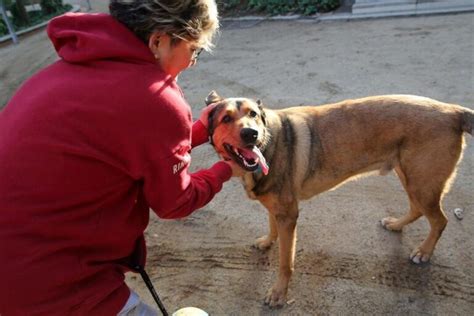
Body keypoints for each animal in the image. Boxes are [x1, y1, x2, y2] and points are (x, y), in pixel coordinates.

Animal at [207, 91, 474, 306]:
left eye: (253, 114)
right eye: (226, 119)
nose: (251, 134)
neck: (269, 142)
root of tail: (453, 111)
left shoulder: (289, 215)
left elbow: (285, 263)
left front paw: (279, 294)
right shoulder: (278, 210)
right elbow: (271, 225)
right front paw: (267, 241)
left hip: (421, 183)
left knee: (439, 220)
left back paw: (424, 252)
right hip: (410, 177)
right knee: (418, 209)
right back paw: (396, 225)